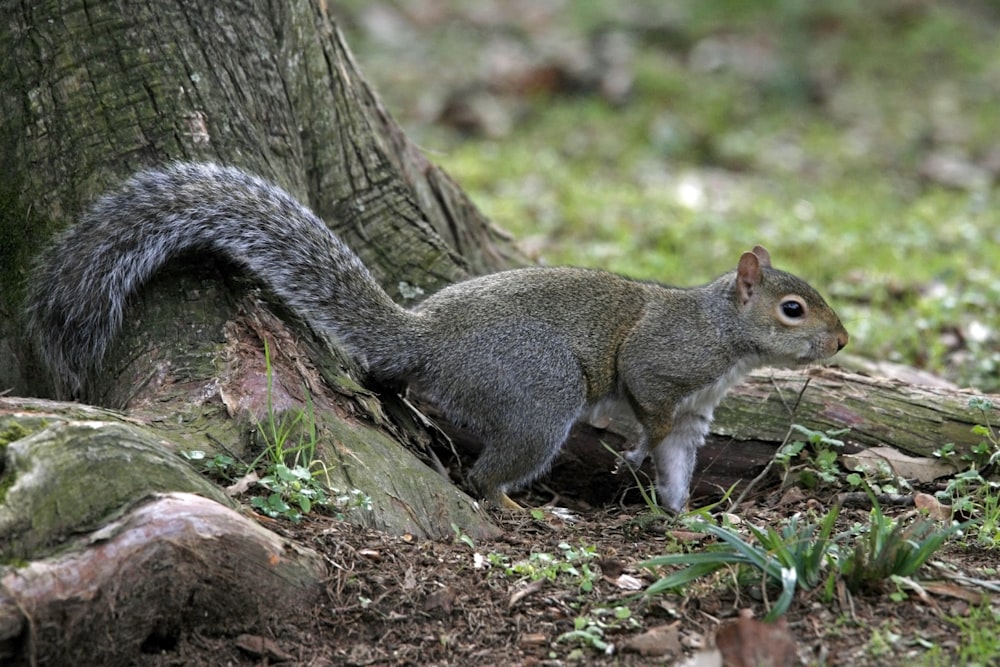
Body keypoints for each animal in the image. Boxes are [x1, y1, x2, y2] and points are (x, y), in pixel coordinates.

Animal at [25, 162, 844, 512]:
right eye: (793, 309)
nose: (839, 342)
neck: (723, 333)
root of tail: (428, 338)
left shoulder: (699, 410)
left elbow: (679, 458)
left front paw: (681, 516)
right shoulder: (663, 359)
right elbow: (647, 404)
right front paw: (638, 450)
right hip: (539, 398)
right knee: (483, 477)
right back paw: (514, 504)